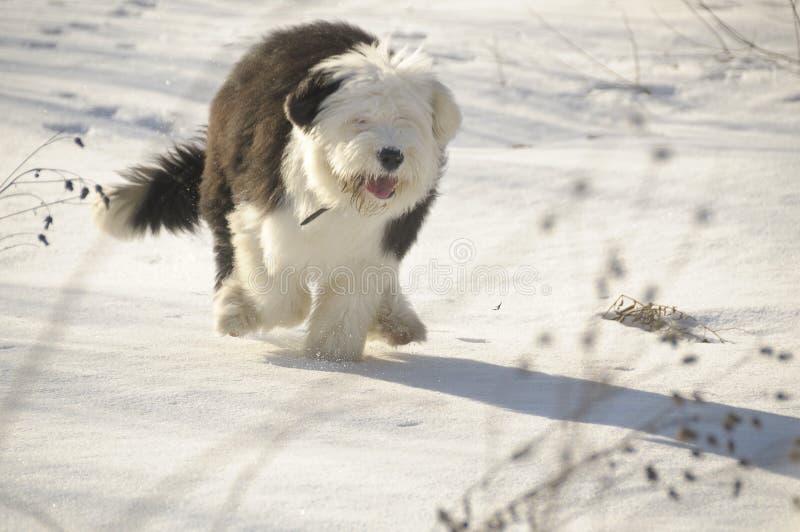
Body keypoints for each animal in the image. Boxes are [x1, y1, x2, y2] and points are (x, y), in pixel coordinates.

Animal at [94, 21, 460, 362]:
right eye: (361, 120)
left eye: (406, 119)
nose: (391, 155)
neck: (337, 195)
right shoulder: (261, 218)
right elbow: (281, 295)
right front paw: (244, 308)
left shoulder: (372, 248)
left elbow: (345, 307)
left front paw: (331, 358)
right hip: (224, 187)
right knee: (228, 254)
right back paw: (233, 308)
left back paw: (396, 322)